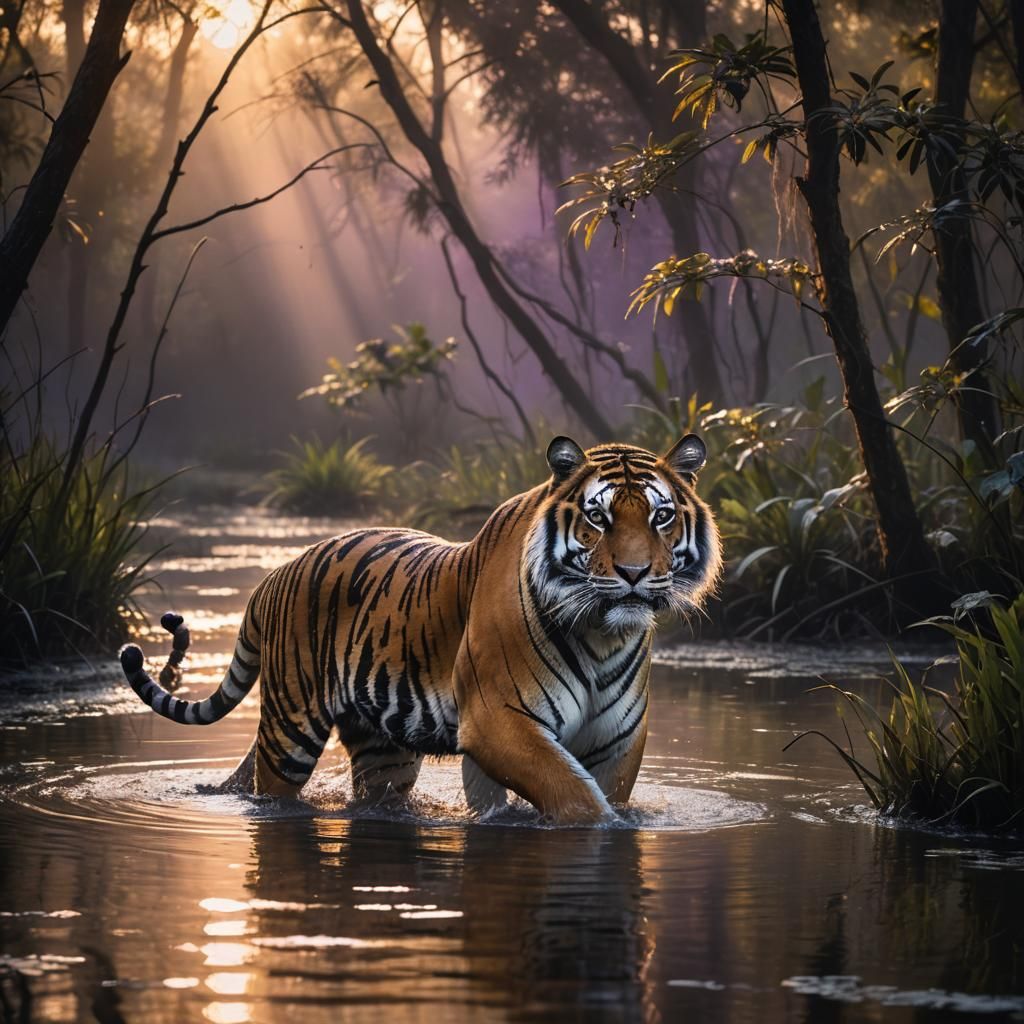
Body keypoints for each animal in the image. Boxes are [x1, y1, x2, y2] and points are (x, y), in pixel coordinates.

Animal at [119, 434, 721, 825]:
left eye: (661, 516)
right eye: (598, 517)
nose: (634, 573)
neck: (602, 634)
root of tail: (275, 572)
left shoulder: (615, 739)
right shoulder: (499, 720)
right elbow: (579, 801)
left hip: (383, 749)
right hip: (290, 730)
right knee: (273, 790)